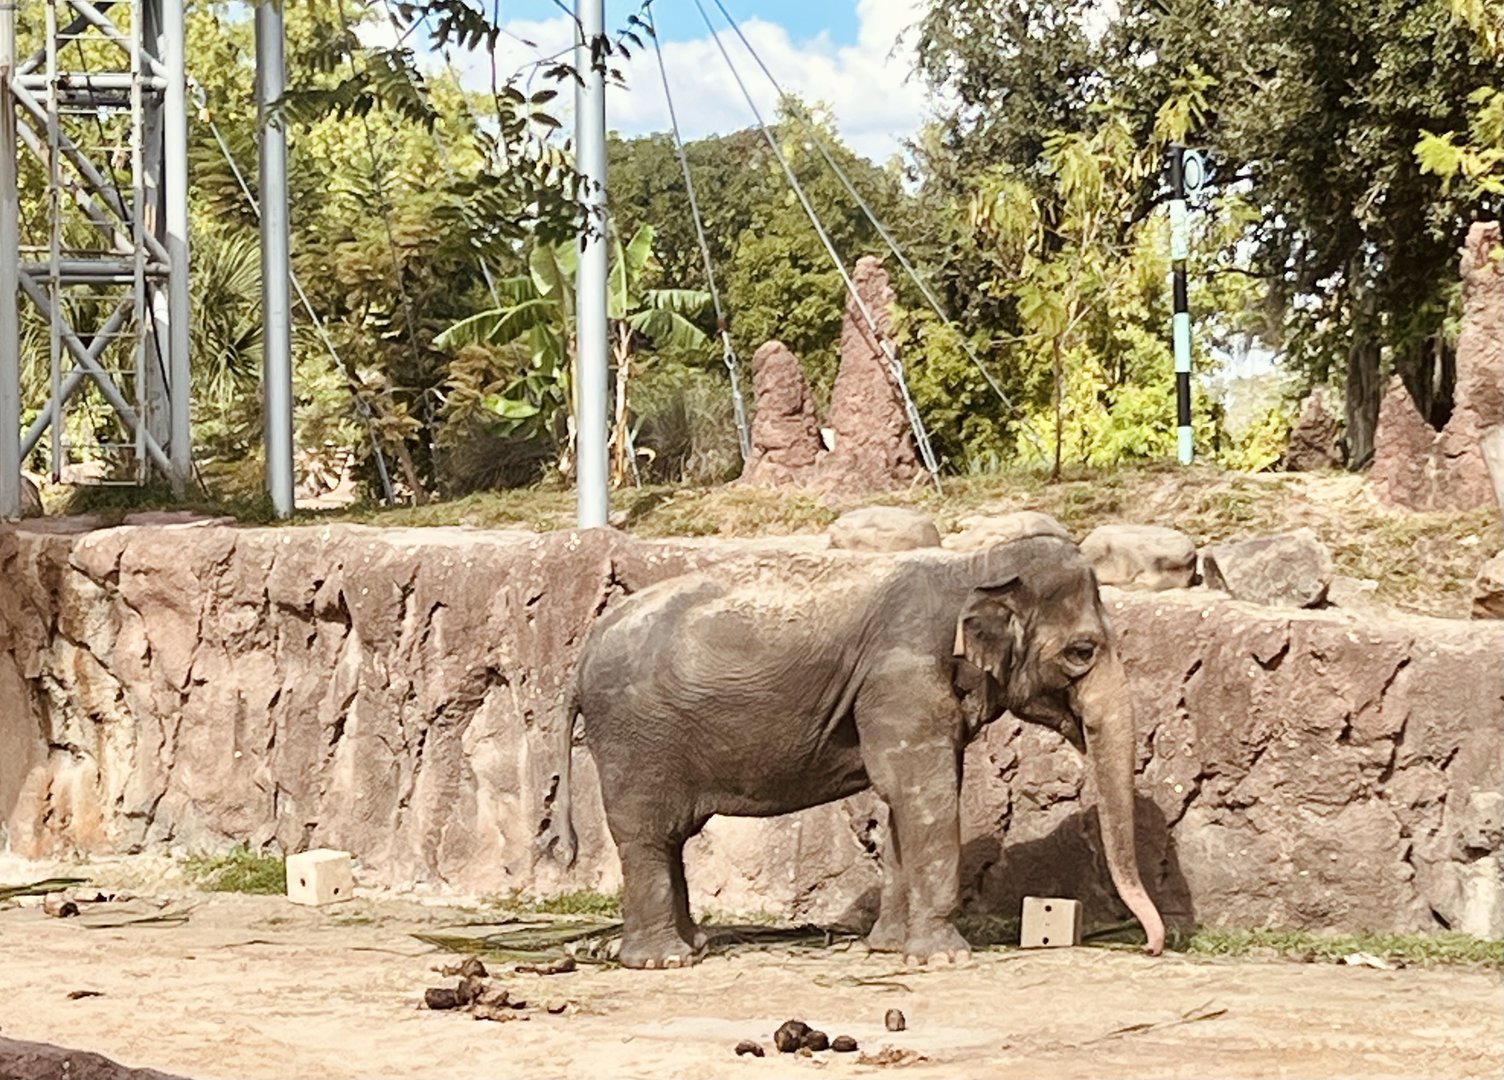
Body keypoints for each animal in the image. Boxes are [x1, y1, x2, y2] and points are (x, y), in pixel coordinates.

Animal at [538, 534, 1166, 969]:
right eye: (1082, 652)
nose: (1152, 948)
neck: (973, 566)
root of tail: (582, 656)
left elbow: (903, 803)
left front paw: (887, 950)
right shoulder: (901, 675)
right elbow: (924, 793)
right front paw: (945, 957)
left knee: (668, 840)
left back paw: (694, 945)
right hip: (635, 736)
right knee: (647, 835)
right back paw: (664, 960)